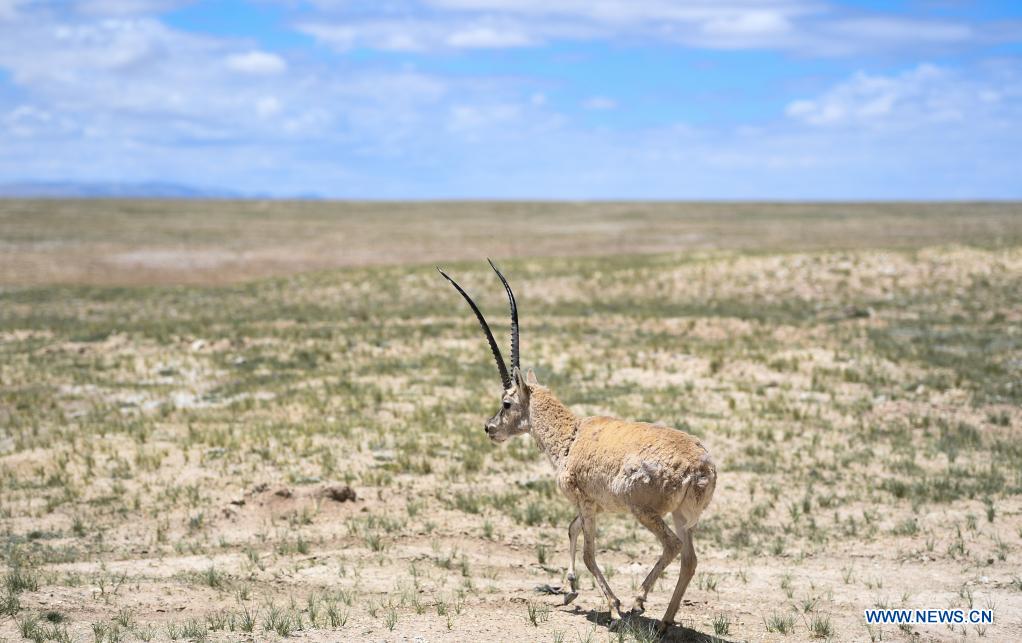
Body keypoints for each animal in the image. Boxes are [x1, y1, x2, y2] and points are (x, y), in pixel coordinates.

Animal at [439, 258, 719, 629]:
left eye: (507, 403)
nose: (490, 428)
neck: (572, 436)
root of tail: (701, 467)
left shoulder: (585, 503)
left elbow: (588, 553)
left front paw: (613, 607)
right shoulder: (592, 507)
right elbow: (571, 530)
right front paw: (570, 590)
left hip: (646, 512)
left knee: (672, 547)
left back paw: (639, 603)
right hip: (682, 516)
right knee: (690, 559)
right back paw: (663, 623)